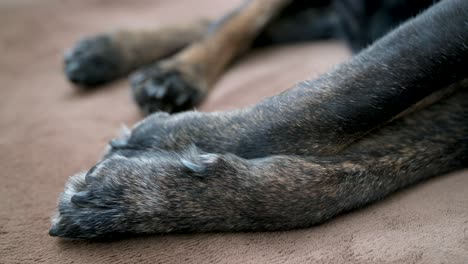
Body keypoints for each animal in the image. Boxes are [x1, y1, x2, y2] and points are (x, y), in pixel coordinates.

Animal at [49, 0, 466, 239]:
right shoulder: (448, 22)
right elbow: (349, 96)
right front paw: (160, 141)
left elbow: (331, 182)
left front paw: (139, 192)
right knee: (238, 19)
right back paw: (163, 66)